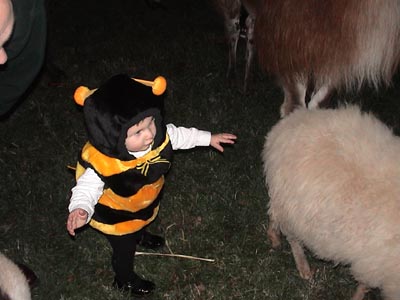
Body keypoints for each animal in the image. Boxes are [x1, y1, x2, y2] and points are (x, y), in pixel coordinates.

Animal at [260, 105, 400, 300]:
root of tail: (291, 120)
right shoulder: (375, 265)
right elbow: (364, 284)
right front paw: (357, 297)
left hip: (283, 200)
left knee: (274, 215)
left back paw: (274, 236)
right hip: (292, 209)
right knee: (293, 237)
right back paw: (303, 267)